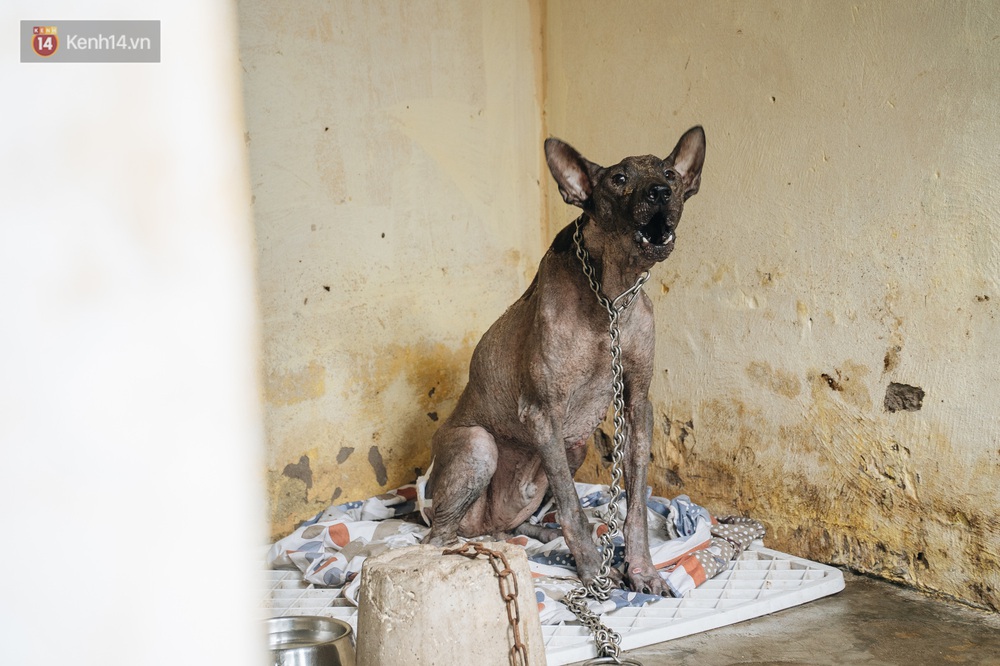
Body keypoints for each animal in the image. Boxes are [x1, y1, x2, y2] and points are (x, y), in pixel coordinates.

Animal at [426, 127, 708, 592]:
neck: (611, 298)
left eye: (669, 173)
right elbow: (573, 505)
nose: (661, 192)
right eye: (618, 179)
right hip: (479, 446)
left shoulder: (638, 404)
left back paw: (536, 535)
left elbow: (634, 504)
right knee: (439, 534)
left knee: (505, 524)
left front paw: (642, 569)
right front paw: (593, 569)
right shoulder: (542, 412)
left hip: (574, 445)